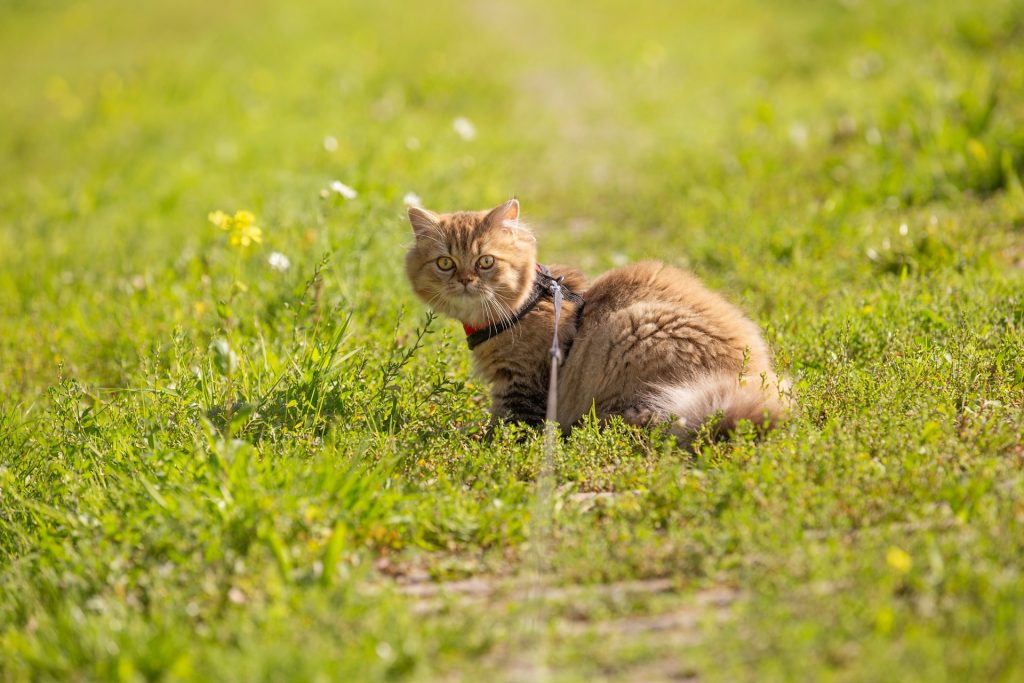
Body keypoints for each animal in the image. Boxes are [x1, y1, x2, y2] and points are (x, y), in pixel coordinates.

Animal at [403, 197, 786, 444]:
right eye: (445, 263)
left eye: (485, 262)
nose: (465, 280)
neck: (523, 306)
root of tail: (755, 380)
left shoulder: (522, 385)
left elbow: (504, 427)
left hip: (632, 330)